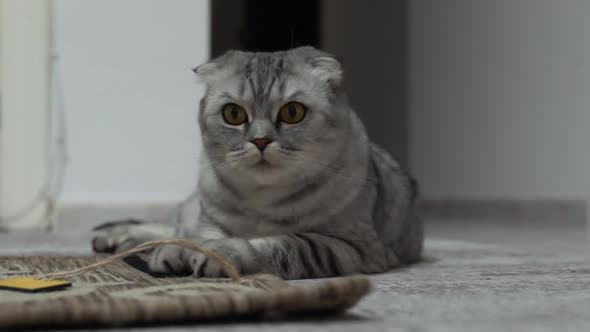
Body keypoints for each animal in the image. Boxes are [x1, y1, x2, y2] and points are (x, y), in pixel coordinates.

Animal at [92, 46, 424, 280]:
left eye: (292, 112)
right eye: (233, 114)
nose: (261, 140)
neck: (261, 199)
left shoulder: (352, 246)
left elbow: (285, 244)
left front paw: (222, 253)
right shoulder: (209, 220)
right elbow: (200, 236)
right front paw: (181, 252)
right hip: (191, 211)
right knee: (167, 226)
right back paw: (117, 238)